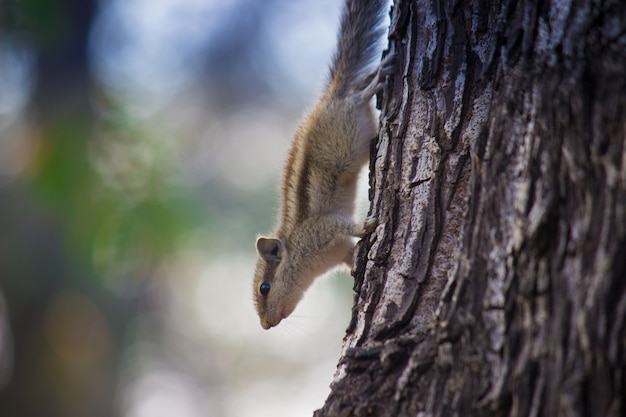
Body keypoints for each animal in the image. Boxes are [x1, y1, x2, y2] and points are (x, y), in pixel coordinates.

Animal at [252, 0, 390, 330]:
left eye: (265, 287)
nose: (266, 325)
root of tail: (329, 95)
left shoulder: (321, 229)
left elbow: (345, 224)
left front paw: (367, 224)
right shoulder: (339, 250)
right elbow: (352, 254)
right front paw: (357, 269)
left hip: (345, 132)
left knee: (356, 98)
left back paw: (372, 83)